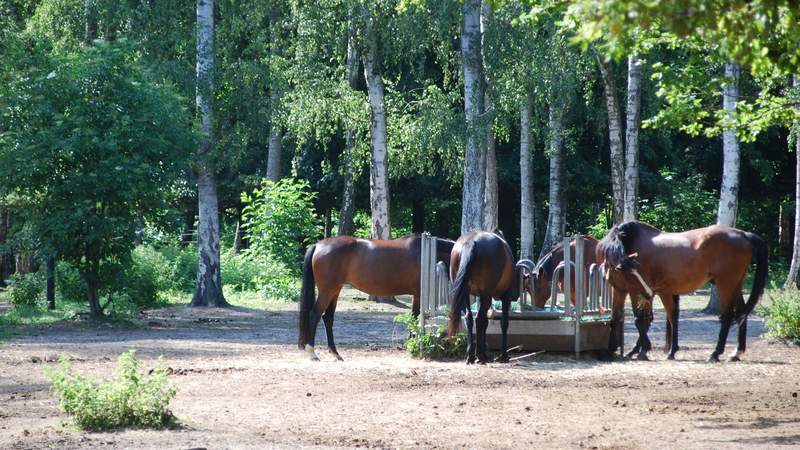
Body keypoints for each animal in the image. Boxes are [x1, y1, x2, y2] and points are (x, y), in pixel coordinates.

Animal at [296, 234, 454, 360]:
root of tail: (318, 245)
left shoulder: (417, 295)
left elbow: (414, 318)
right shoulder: (419, 294)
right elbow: (415, 318)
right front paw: (411, 344)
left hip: (335, 290)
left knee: (328, 318)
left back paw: (335, 353)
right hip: (327, 291)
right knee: (314, 315)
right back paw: (312, 353)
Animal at [444, 230, 520, 364]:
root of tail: (471, 241)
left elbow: (485, 322)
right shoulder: (505, 297)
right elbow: (503, 323)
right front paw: (504, 355)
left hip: (465, 293)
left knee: (469, 317)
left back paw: (471, 355)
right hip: (486, 295)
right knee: (479, 319)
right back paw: (480, 356)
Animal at [596, 221, 764, 362]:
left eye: (635, 269)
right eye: (629, 269)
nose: (648, 292)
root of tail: (744, 234)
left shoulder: (635, 290)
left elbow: (640, 319)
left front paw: (643, 350)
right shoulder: (621, 290)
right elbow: (617, 317)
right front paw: (613, 350)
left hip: (725, 285)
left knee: (728, 317)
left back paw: (715, 353)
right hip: (736, 285)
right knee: (742, 313)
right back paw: (736, 352)